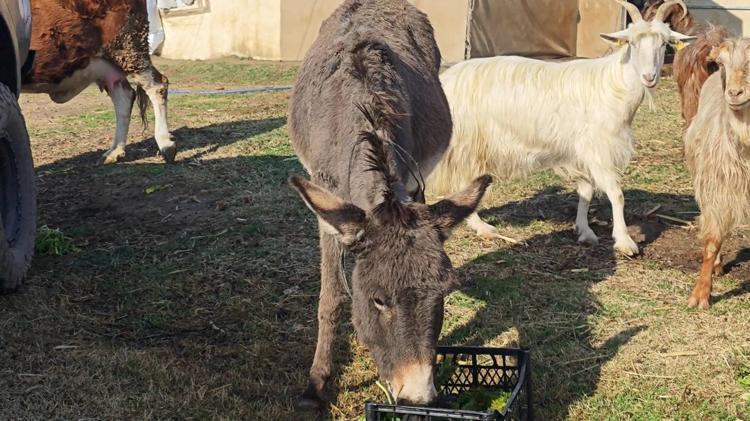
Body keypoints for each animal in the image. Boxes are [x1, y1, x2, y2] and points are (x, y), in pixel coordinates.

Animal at [21, 0, 176, 163]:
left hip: (128, 45)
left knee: (157, 85)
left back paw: (166, 145)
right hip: (107, 63)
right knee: (124, 98)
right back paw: (114, 151)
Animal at [426, 0, 696, 254]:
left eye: (664, 43)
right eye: (631, 43)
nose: (649, 77)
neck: (612, 84)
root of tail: (445, 80)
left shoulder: (579, 152)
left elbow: (586, 191)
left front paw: (584, 230)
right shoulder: (598, 148)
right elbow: (616, 194)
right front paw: (624, 242)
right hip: (464, 143)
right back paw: (482, 227)